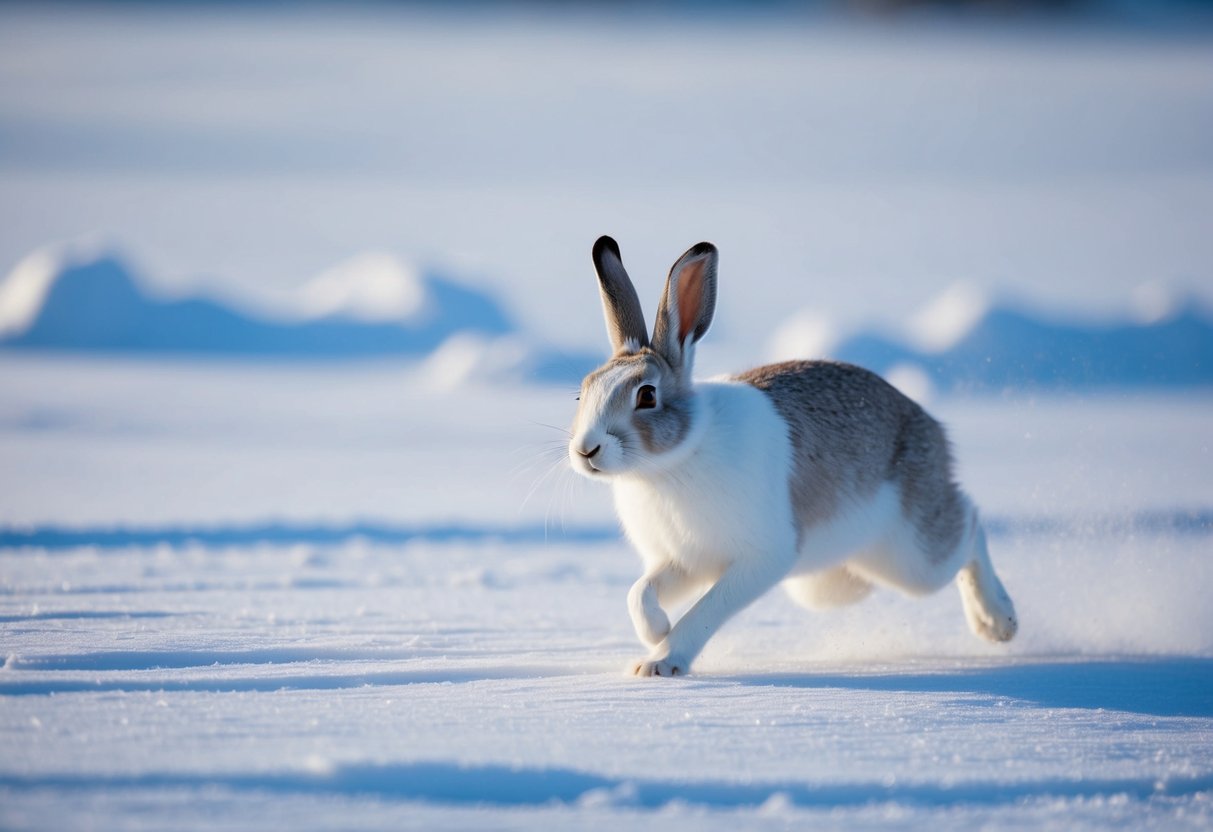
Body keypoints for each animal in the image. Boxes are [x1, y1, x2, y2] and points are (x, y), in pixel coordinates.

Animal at [568, 236, 1017, 677]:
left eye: (647, 396)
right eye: (581, 393)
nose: (586, 450)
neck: (669, 464)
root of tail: (929, 425)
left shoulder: (762, 557)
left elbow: (706, 611)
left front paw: (660, 662)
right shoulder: (684, 562)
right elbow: (639, 592)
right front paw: (655, 630)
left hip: (914, 558)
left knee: (969, 526)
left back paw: (999, 622)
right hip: (830, 583)